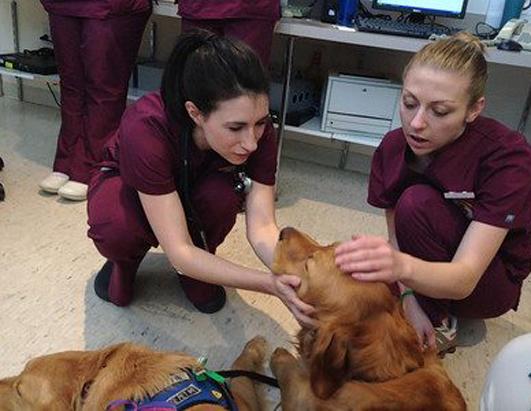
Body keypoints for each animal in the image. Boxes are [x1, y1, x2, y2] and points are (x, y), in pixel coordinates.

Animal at [270, 229, 466, 411]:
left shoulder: (301, 399)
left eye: (309, 263)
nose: (283, 231)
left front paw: (280, 356)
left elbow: (292, 377)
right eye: (332, 245)